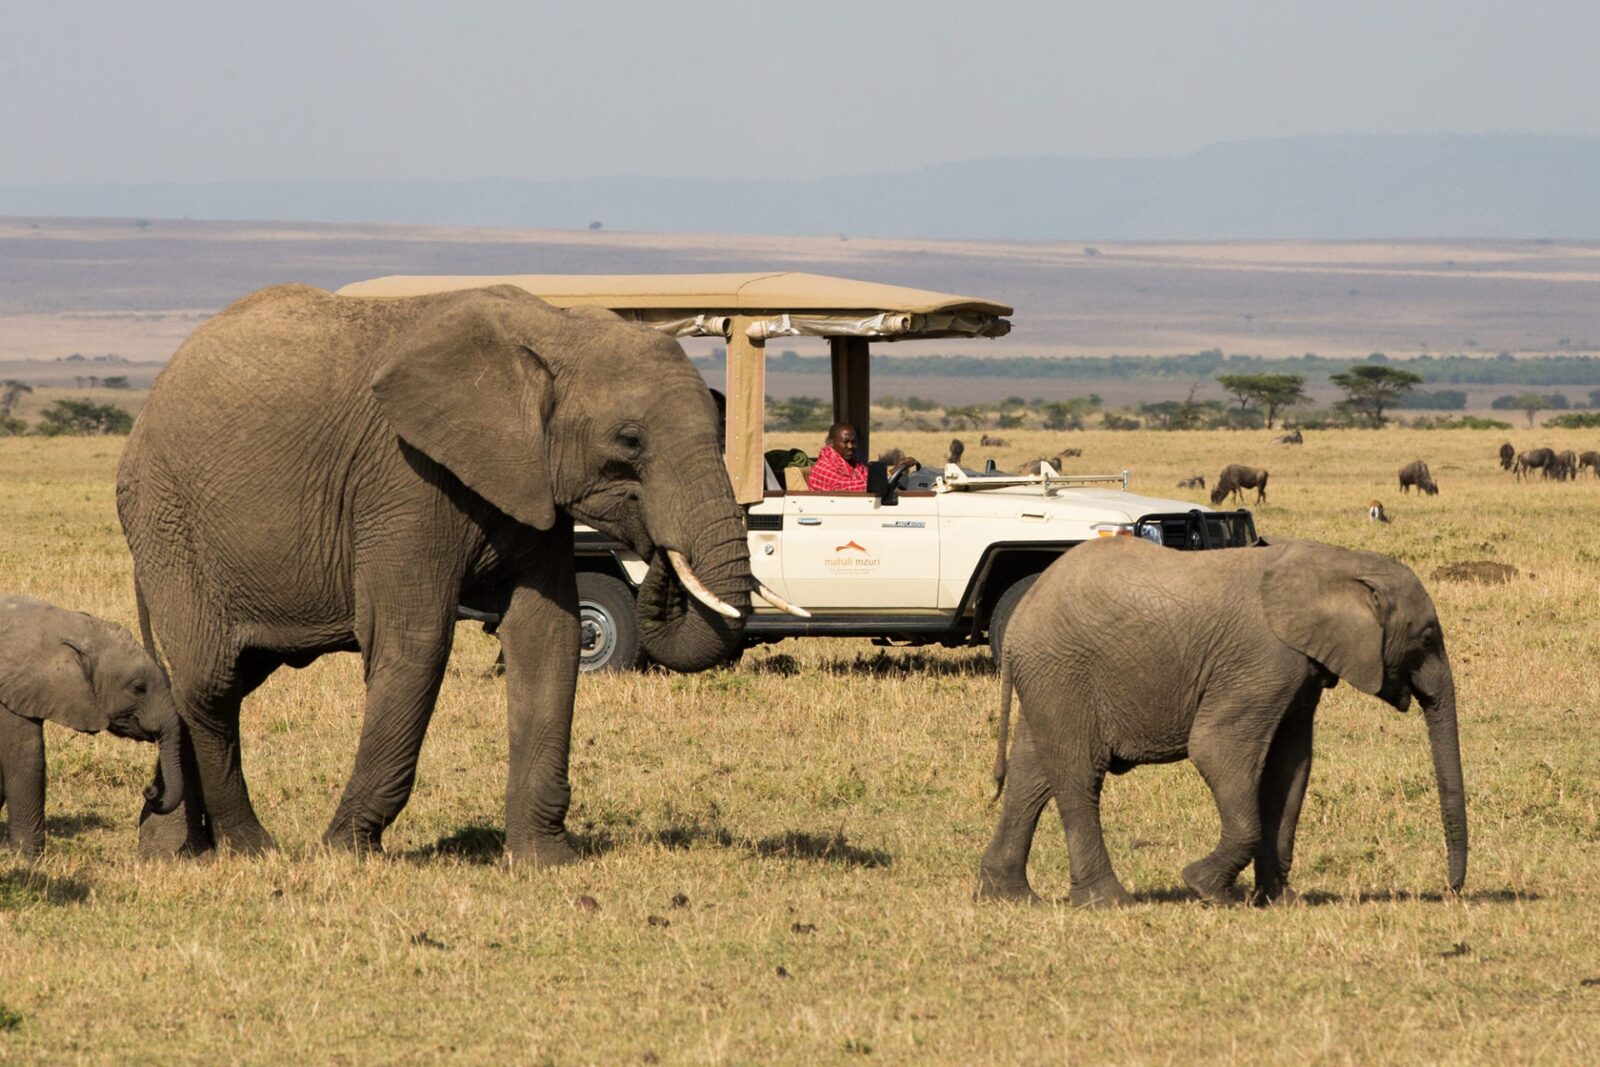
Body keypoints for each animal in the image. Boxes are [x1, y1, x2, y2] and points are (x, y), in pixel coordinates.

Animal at [116, 283, 774, 870]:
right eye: (630, 440)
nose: (658, 552)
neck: (557, 330)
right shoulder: (404, 478)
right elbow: (415, 642)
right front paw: (344, 852)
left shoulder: (531, 485)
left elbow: (548, 636)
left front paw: (545, 862)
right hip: (168, 521)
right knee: (210, 682)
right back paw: (251, 850)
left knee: (210, 682)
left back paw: (170, 853)